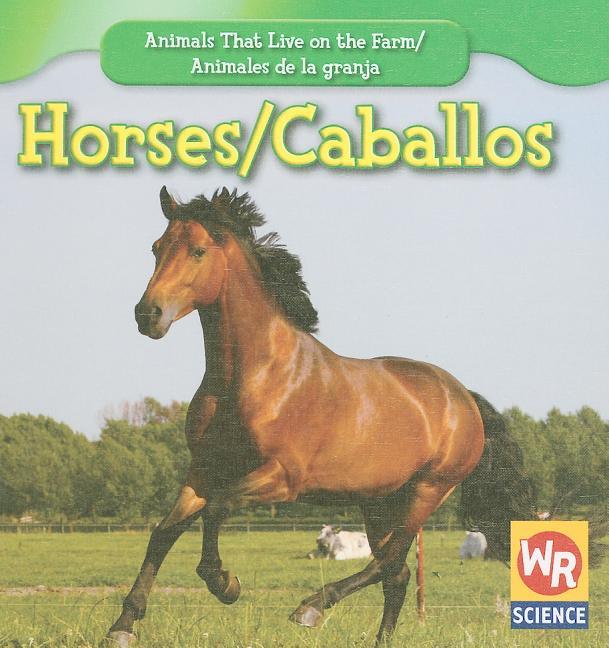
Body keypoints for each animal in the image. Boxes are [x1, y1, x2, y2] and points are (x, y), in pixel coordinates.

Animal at [106, 187, 535, 645]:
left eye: (198, 251)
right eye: (156, 248)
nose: (148, 314)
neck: (252, 376)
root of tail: (464, 398)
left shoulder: (282, 478)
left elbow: (218, 509)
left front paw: (225, 584)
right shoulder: (204, 470)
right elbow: (164, 532)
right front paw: (123, 625)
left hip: (427, 492)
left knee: (386, 563)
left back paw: (311, 607)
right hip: (379, 502)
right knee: (397, 575)